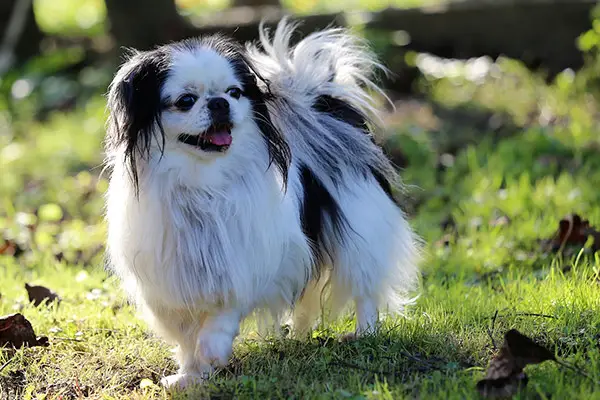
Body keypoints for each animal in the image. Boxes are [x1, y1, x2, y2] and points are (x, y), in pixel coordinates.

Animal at [103, 18, 420, 388]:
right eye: (185, 101)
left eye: (234, 93)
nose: (219, 103)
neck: (203, 183)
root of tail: (322, 110)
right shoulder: (174, 286)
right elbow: (186, 339)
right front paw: (191, 375)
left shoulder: (248, 262)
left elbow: (222, 313)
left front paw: (213, 349)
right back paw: (300, 335)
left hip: (361, 233)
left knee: (365, 289)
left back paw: (364, 333)